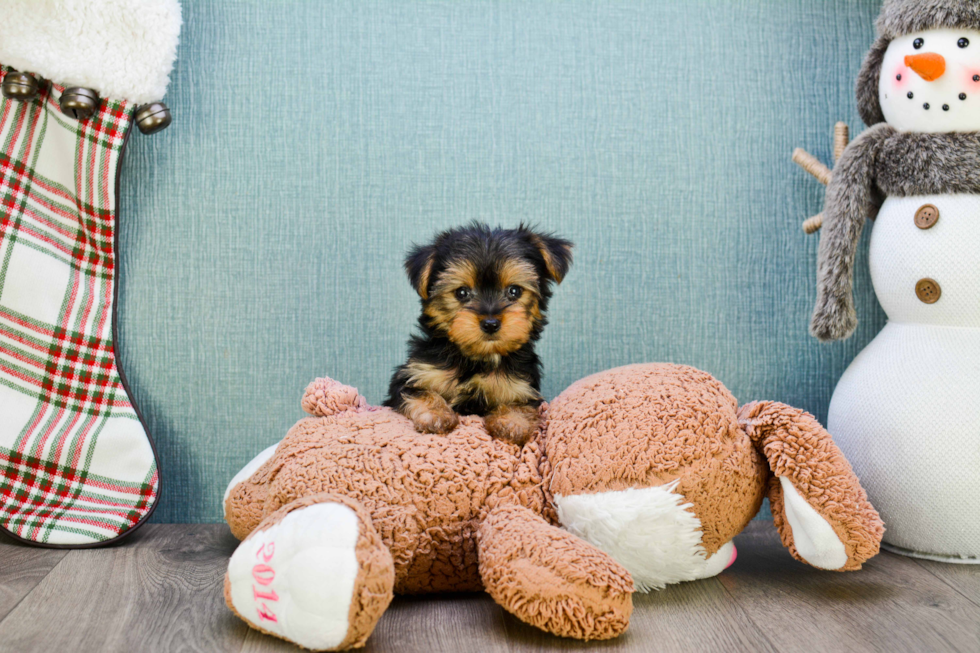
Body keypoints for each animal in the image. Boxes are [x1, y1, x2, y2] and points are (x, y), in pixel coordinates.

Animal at [386, 223, 576, 444]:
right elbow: (421, 393)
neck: (478, 358)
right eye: (461, 292)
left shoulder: (522, 387)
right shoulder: (414, 376)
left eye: (514, 291)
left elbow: (520, 405)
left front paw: (511, 424)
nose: (490, 323)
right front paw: (436, 415)